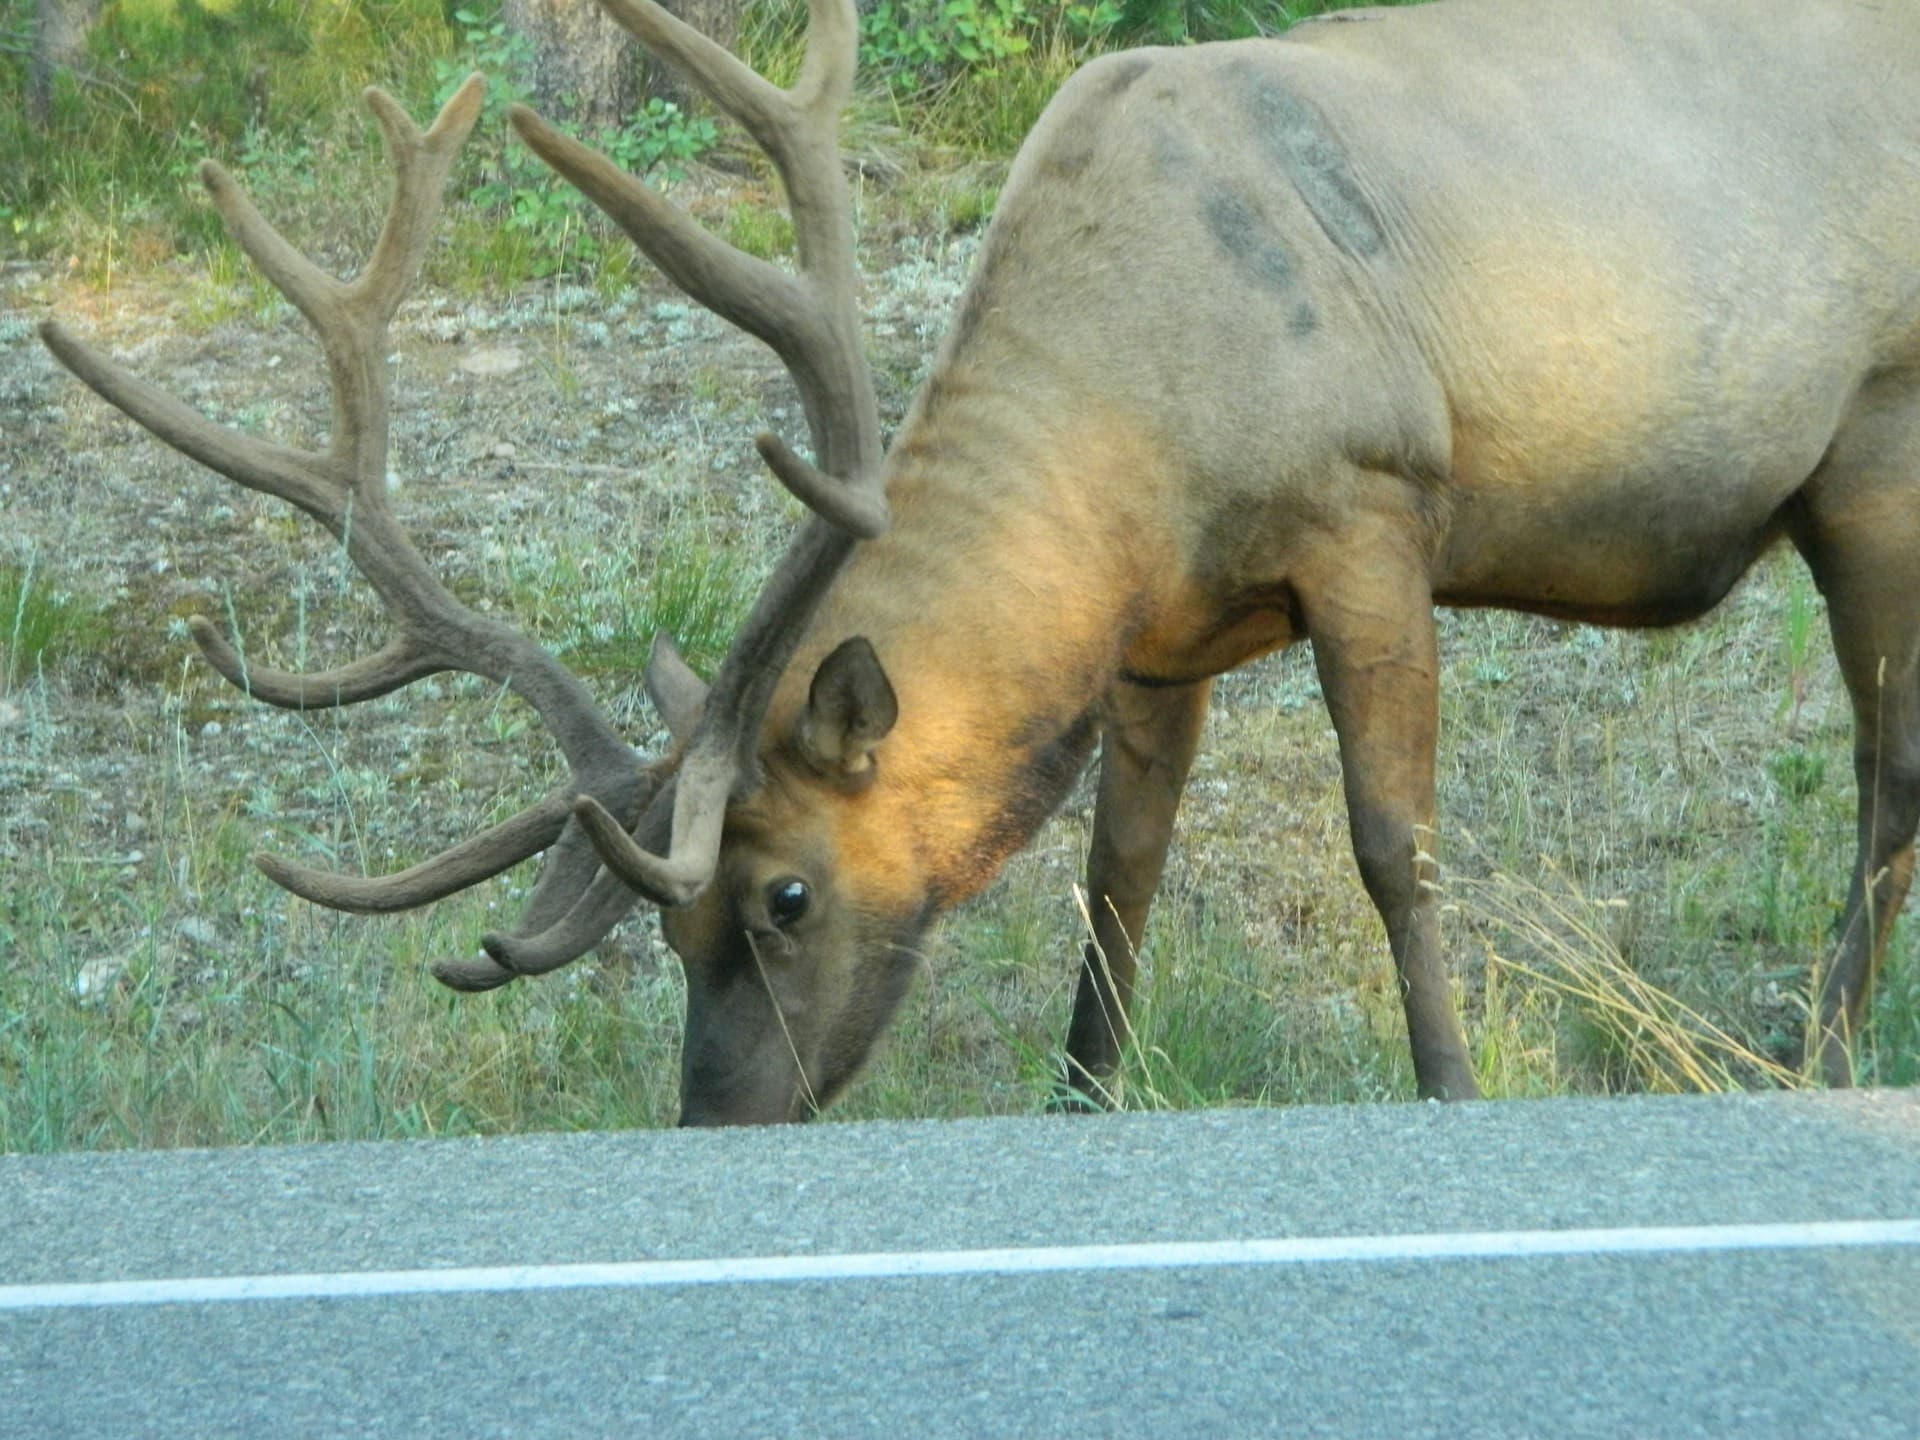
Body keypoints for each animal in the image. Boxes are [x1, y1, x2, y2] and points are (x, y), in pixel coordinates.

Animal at [40, 0, 1920, 1124]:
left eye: (785, 896)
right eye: (671, 927)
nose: (717, 1117)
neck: (1132, 451)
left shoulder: (1371, 505)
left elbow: (1395, 848)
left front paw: (1451, 1091)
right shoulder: (1165, 633)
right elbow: (1115, 881)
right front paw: (1078, 1104)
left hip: (1877, 440)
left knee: (1888, 773)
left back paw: (1821, 1054)